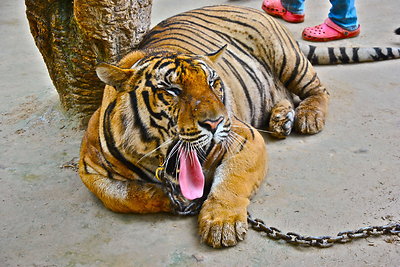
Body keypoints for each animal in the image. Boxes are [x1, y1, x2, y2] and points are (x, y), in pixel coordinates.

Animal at [79, 4, 400, 249]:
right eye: (172, 90)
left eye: (213, 83)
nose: (215, 122)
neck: (163, 159)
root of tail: (246, 7)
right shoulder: (89, 170)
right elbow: (123, 196)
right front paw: (174, 199)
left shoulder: (244, 137)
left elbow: (232, 179)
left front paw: (222, 224)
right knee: (284, 95)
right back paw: (281, 119)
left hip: (286, 58)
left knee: (318, 90)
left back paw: (307, 118)